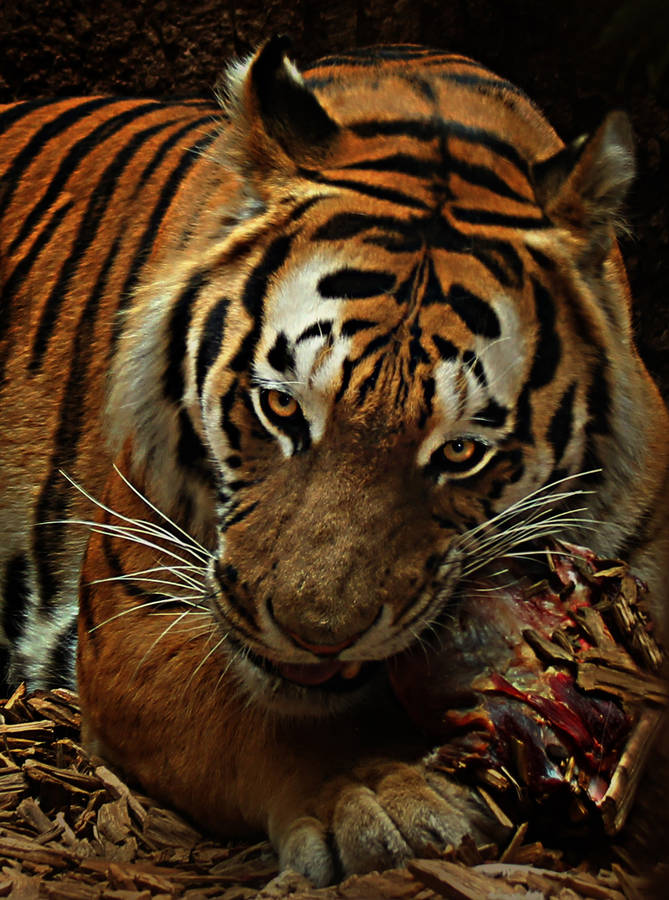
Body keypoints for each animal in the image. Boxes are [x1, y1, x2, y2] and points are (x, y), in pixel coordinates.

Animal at [1, 36, 668, 885]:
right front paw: (380, 800)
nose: (317, 637)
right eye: (282, 408)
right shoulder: (132, 614)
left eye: (460, 450)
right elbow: (267, 719)